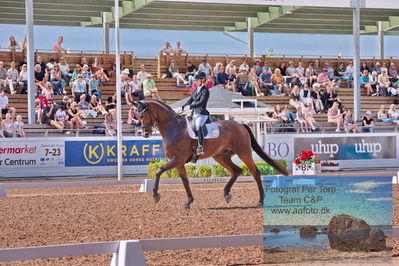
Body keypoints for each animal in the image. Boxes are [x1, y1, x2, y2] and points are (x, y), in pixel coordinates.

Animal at [136, 98, 290, 209]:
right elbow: (185, 181)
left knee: (255, 173)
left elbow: (158, 171)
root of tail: (241, 124)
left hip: (244, 153)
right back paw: (227, 194)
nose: (145, 134)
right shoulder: (178, 163)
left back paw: (260, 201)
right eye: (137, 116)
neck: (173, 128)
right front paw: (188, 202)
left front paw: (156, 195)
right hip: (220, 157)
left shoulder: (177, 160)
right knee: (237, 171)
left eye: (143, 115)